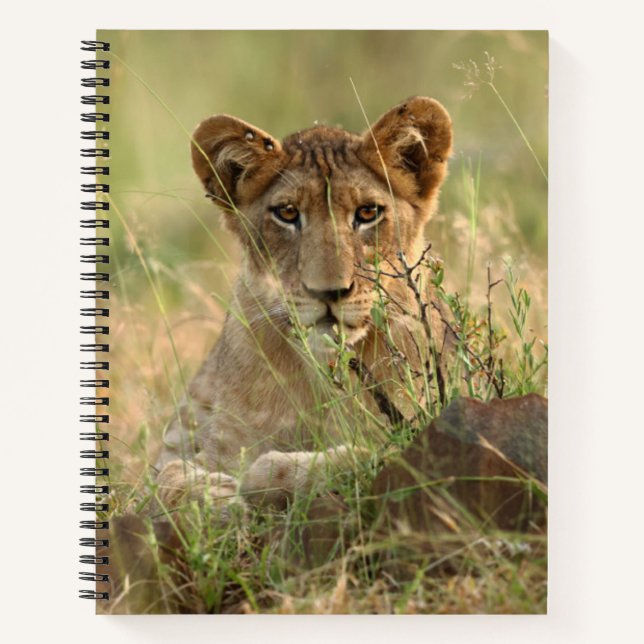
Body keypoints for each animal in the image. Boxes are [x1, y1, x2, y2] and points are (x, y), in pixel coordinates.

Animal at [155, 96, 453, 512]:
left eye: (367, 213)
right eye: (288, 213)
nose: (328, 292)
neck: (323, 376)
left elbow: (364, 455)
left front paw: (258, 479)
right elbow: (162, 480)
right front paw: (216, 497)